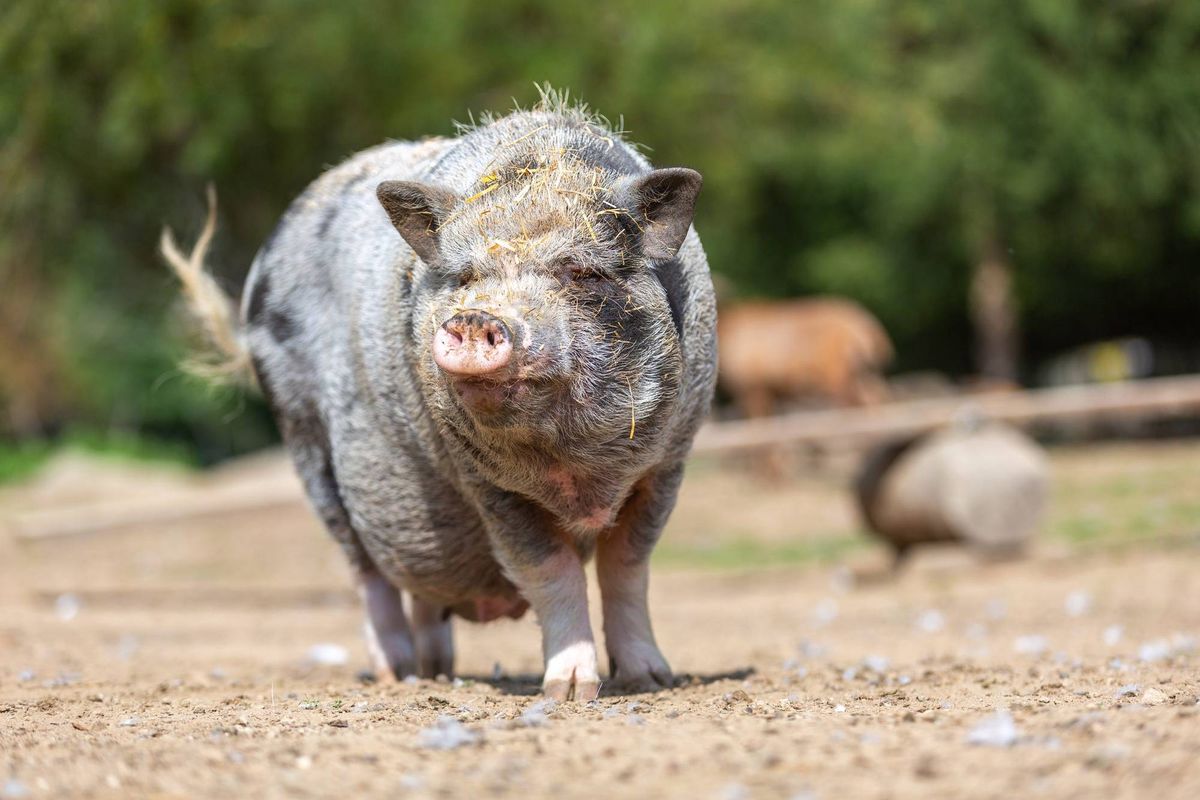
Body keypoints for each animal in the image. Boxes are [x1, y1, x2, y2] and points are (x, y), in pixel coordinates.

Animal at [162, 90, 717, 700]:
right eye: (465, 276)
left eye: (582, 272)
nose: (476, 318)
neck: (580, 479)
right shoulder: (489, 486)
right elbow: (552, 571)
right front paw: (567, 692)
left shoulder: (668, 463)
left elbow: (628, 567)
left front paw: (651, 680)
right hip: (307, 445)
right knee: (368, 576)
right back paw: (395, 676)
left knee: (424, 591)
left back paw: (438, 672)